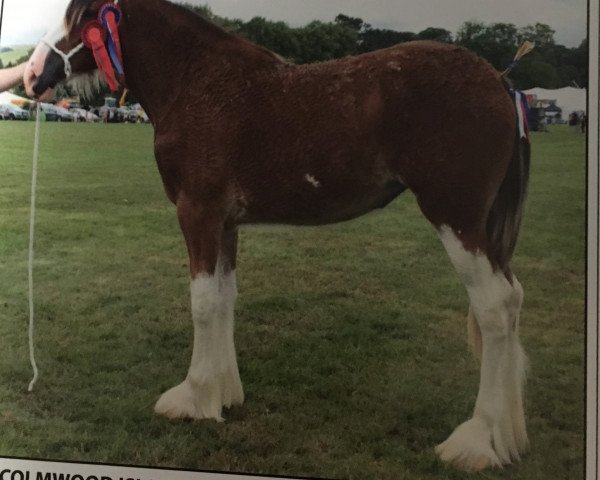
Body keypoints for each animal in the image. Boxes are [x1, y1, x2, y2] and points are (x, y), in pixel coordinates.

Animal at [22, 0, 528, 472]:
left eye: (83, 13)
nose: (32, 73)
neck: (196, 83)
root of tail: (499, 81)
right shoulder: (225, 224)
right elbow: (224, 298)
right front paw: (223, 394)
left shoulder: (198, 213)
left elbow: (202, 303)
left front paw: (193, 397)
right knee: (513, 300)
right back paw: (504, 436)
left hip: (456, 220)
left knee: (494, 308)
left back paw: (475, 441)